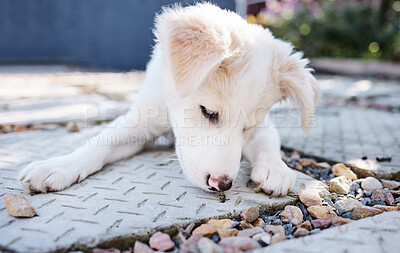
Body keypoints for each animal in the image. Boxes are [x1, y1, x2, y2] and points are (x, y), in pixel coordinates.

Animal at [18, 3, 318, 197]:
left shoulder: (264, 125)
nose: (221, 185)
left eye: (248, 127)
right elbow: (100, 142)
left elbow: (268, 141)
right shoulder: (140, 122)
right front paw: (59, 165)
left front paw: (275, 168)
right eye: (208, 112)